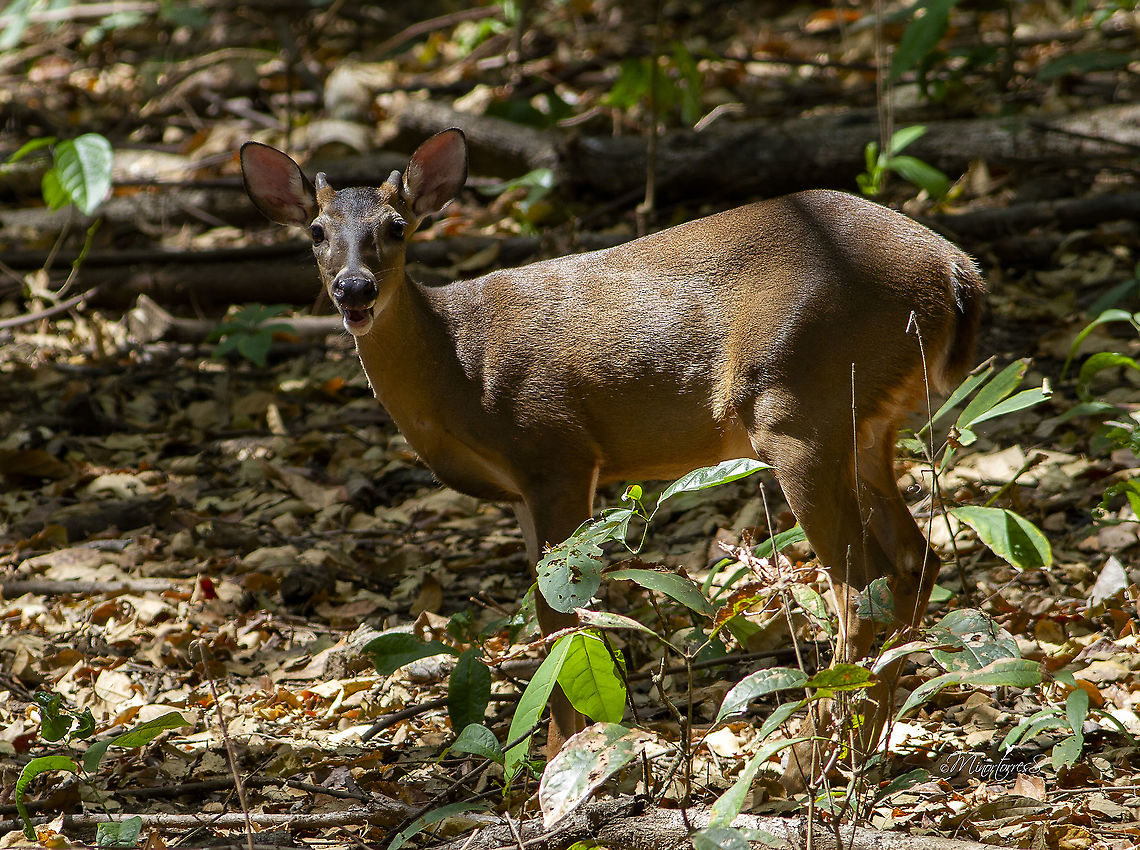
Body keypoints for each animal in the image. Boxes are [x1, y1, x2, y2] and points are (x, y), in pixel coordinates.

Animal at [240, 128, 984, 791]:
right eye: (316, 231)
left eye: (396, 227)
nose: (354, 289)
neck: (460, 372)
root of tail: (956, 270)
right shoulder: (525, 488)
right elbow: (552, 622)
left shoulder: (556, 450)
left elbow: (562, 621)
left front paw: (568, 769)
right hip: (865, 427)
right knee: (915, 562)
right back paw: (863, 753)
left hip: (797, 405)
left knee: (863, 587)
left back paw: (809, 764)